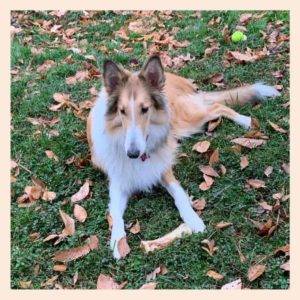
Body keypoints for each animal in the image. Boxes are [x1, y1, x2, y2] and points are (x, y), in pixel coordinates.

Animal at [86, 55, 278, 258]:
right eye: (122, 111)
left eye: (145, 109)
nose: (132, 154)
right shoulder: (118, 182)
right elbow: (116, 213)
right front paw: (118, 241)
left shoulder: (163, 169)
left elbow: (179, 195)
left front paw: (193, 219)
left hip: (185, 119)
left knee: (218, 106)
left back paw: (246, 121)